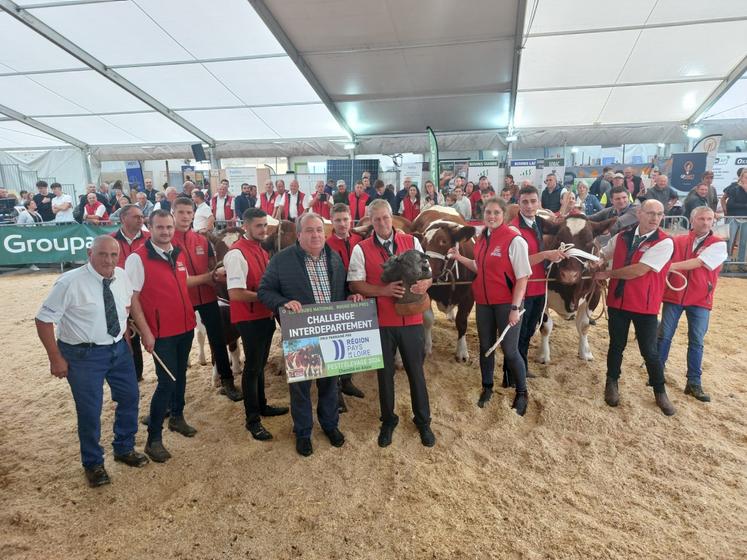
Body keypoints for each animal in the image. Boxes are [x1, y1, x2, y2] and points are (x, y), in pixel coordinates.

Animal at [536, 213, 620, 364]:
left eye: (589, 241)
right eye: (559, 238)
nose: (569, 275)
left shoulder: (594, 295)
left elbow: (584, 326)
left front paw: (585, 352)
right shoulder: (541, 297)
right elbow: (545, 327)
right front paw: (544, 355)